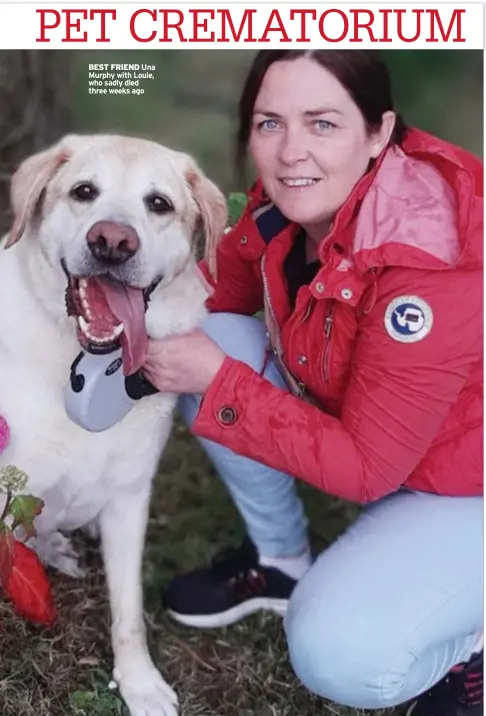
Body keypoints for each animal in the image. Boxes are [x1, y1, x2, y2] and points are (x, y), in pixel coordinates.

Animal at [0, 131, 228, 712]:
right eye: (85, 191)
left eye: (159, 203)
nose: (112, 242)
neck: (83, 364)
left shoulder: (129, 498)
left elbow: (129, 612)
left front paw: (139, 683)